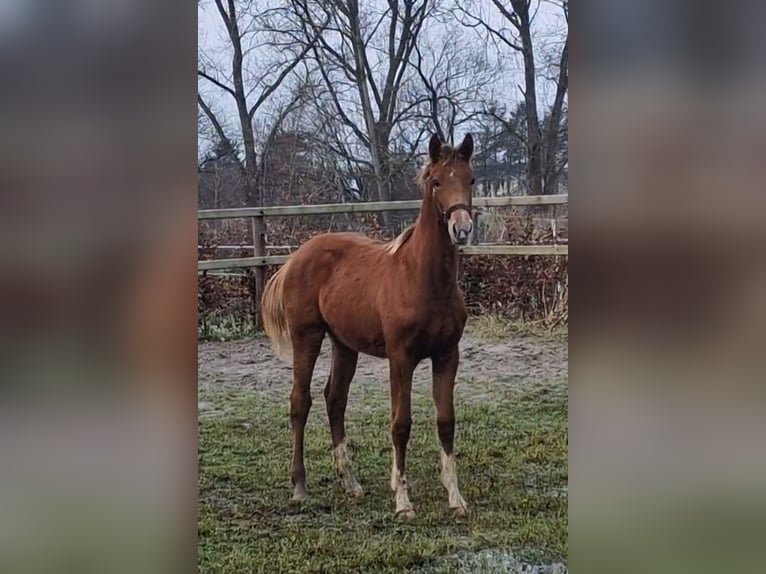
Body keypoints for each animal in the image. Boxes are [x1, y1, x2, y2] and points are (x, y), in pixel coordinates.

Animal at [261, 133, 475, 518]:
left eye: (471, 180)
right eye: (437, 181)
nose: (461, 228)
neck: (424, 280)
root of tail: (297, 255)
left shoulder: (447, 356)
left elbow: (446, 421)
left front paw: (456, 498)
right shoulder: (401, 358)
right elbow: (401, 424)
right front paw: (403, 501)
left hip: (344, 344)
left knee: (335, 400)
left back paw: (351, 482)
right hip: (307, 337)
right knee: (301, 401)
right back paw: (299, 486)